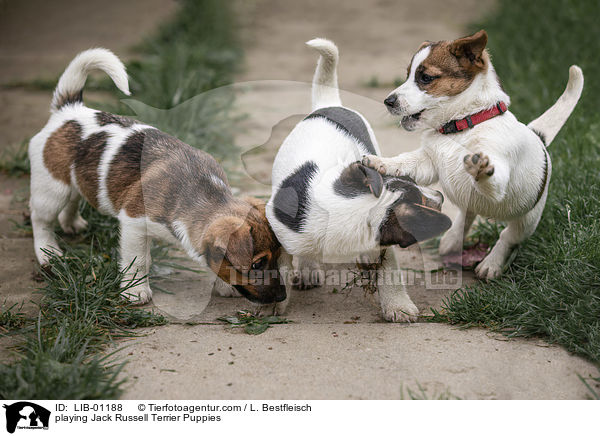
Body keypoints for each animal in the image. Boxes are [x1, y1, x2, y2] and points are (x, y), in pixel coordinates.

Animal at [29, 48, 288, 304]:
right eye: (257, 264)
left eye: (278, 256)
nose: (283, 295)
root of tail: (68, 110)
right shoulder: (134, 224)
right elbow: (138, 260)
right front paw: (135, 291)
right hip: (51, 189)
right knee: (41, 221)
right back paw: (48, 253)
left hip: (72, 181)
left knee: (73, 198)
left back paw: (72, 223)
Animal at [268, 40, 450, 320]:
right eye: (422, 201)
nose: (440, 196)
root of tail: (329, 104)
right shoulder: (278, 227)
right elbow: (281, 265)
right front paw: (273, 304)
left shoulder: (383, 241)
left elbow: (388, 268)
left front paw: (398, 306)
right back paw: (309, 269)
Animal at [364, 29, 584, 280]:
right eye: (407, 75)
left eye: (426, 78)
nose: (388, 101)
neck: (463, 125)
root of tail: (538, 137)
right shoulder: (428, 162)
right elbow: (404, 161)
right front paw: (380, 162)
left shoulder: (499, 169)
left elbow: (492, 180)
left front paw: (481, 169)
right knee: (467, 214)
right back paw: (452, 239)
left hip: (528, 219)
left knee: (508, 237)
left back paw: (492, 263)